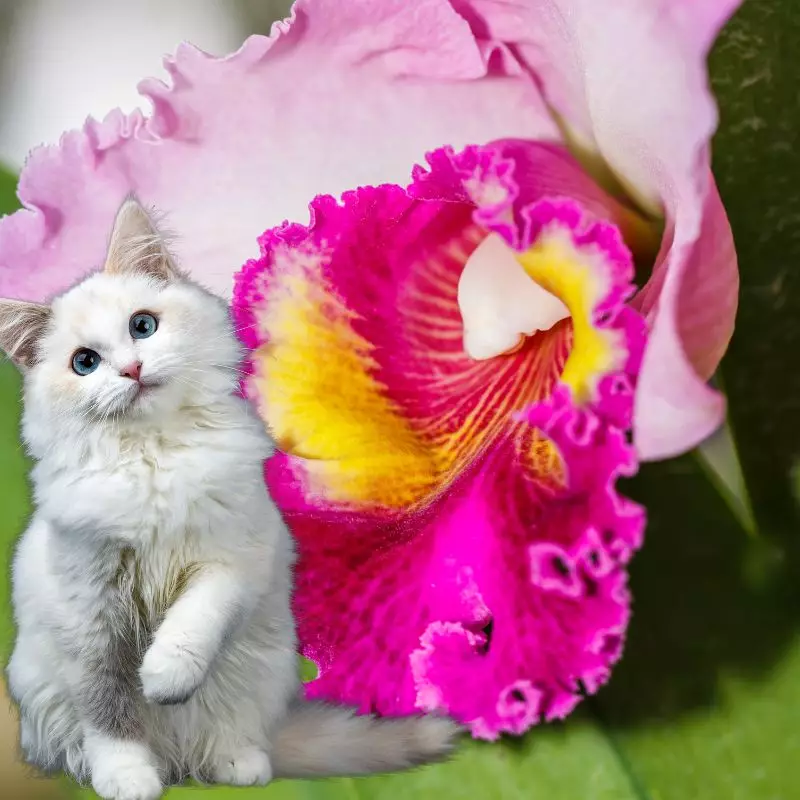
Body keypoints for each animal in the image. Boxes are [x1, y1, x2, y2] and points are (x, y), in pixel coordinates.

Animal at [0, 200, 456, 800]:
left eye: (142, 326)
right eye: (84, 363)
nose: (131, 370)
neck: (155, 456)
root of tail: (179, 761)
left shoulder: (232, 559)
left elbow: (192, 623)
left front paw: (163, 677)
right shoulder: (91, 614)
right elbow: (110, 713)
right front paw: (127, 777)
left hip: (260, 669)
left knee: (234, 735)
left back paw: (237, 763)